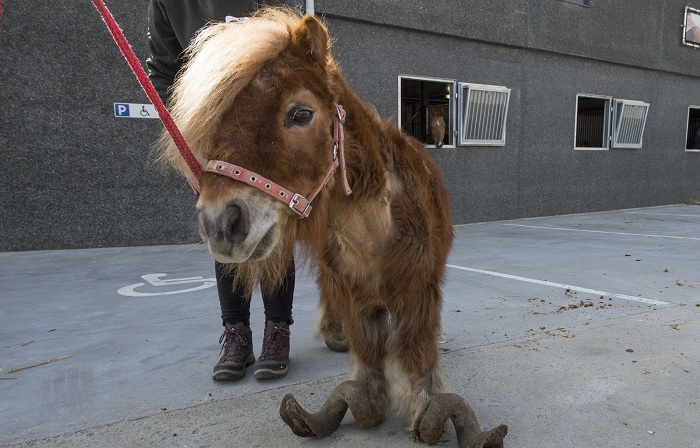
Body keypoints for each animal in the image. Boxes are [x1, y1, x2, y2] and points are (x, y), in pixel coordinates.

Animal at [161, 7, 506, 448]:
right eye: (217, 119)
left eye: (301, 114)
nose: (220, 223)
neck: (376, 232)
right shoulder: (352, 292)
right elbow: (367, 357)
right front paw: (366, 395)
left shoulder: (418, 291)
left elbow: (417, 352)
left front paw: (426, 410)